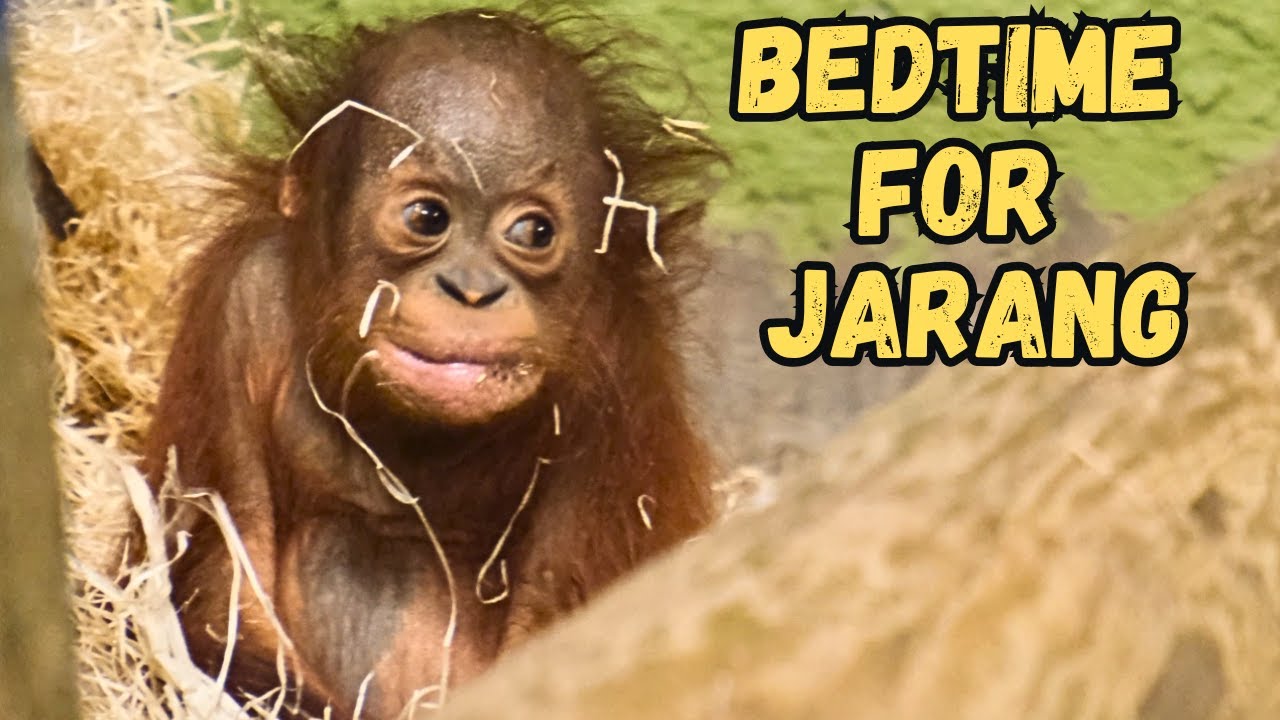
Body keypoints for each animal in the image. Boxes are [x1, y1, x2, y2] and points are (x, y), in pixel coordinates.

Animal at [141, 8, 725, 718]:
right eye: (427, 216)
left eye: (534, 232)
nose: (472, 289)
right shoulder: (240, 304)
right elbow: (226, 583)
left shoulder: (619, 371)